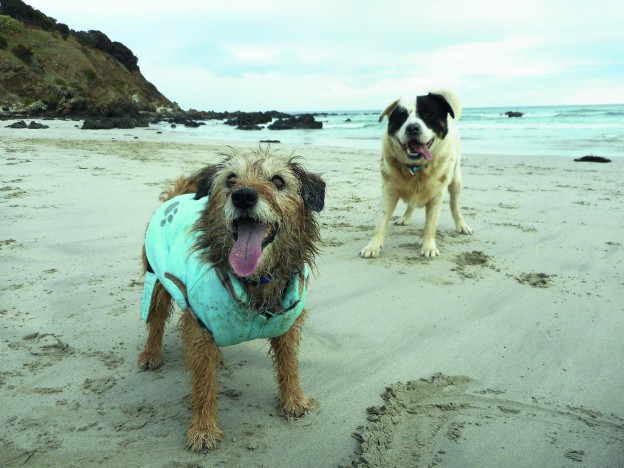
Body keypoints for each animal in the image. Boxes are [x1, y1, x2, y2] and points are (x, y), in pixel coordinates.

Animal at [138, 149, 326, 450]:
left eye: (278, 181)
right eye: (230, 180)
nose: (244, 196)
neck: (255, 281)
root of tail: (174, 198)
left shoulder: (286, 324)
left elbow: (289, 364)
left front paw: (294, 399)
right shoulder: (199, 326)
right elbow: (203, 383)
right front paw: (203, 429)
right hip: (156, 280)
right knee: (155, 320)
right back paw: (150, 354)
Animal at [360, 89, 472, 258]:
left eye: (428, 114)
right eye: (401, 116)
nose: (412, 128)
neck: (416, 168)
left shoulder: (436, 195)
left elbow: (430, 224)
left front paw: (429, 247)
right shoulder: (388, 190)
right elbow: (381, 221)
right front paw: (373, 246)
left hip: (455, 180)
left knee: (454, 204)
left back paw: (461, 224)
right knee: (411, 204)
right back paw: (405, 217)